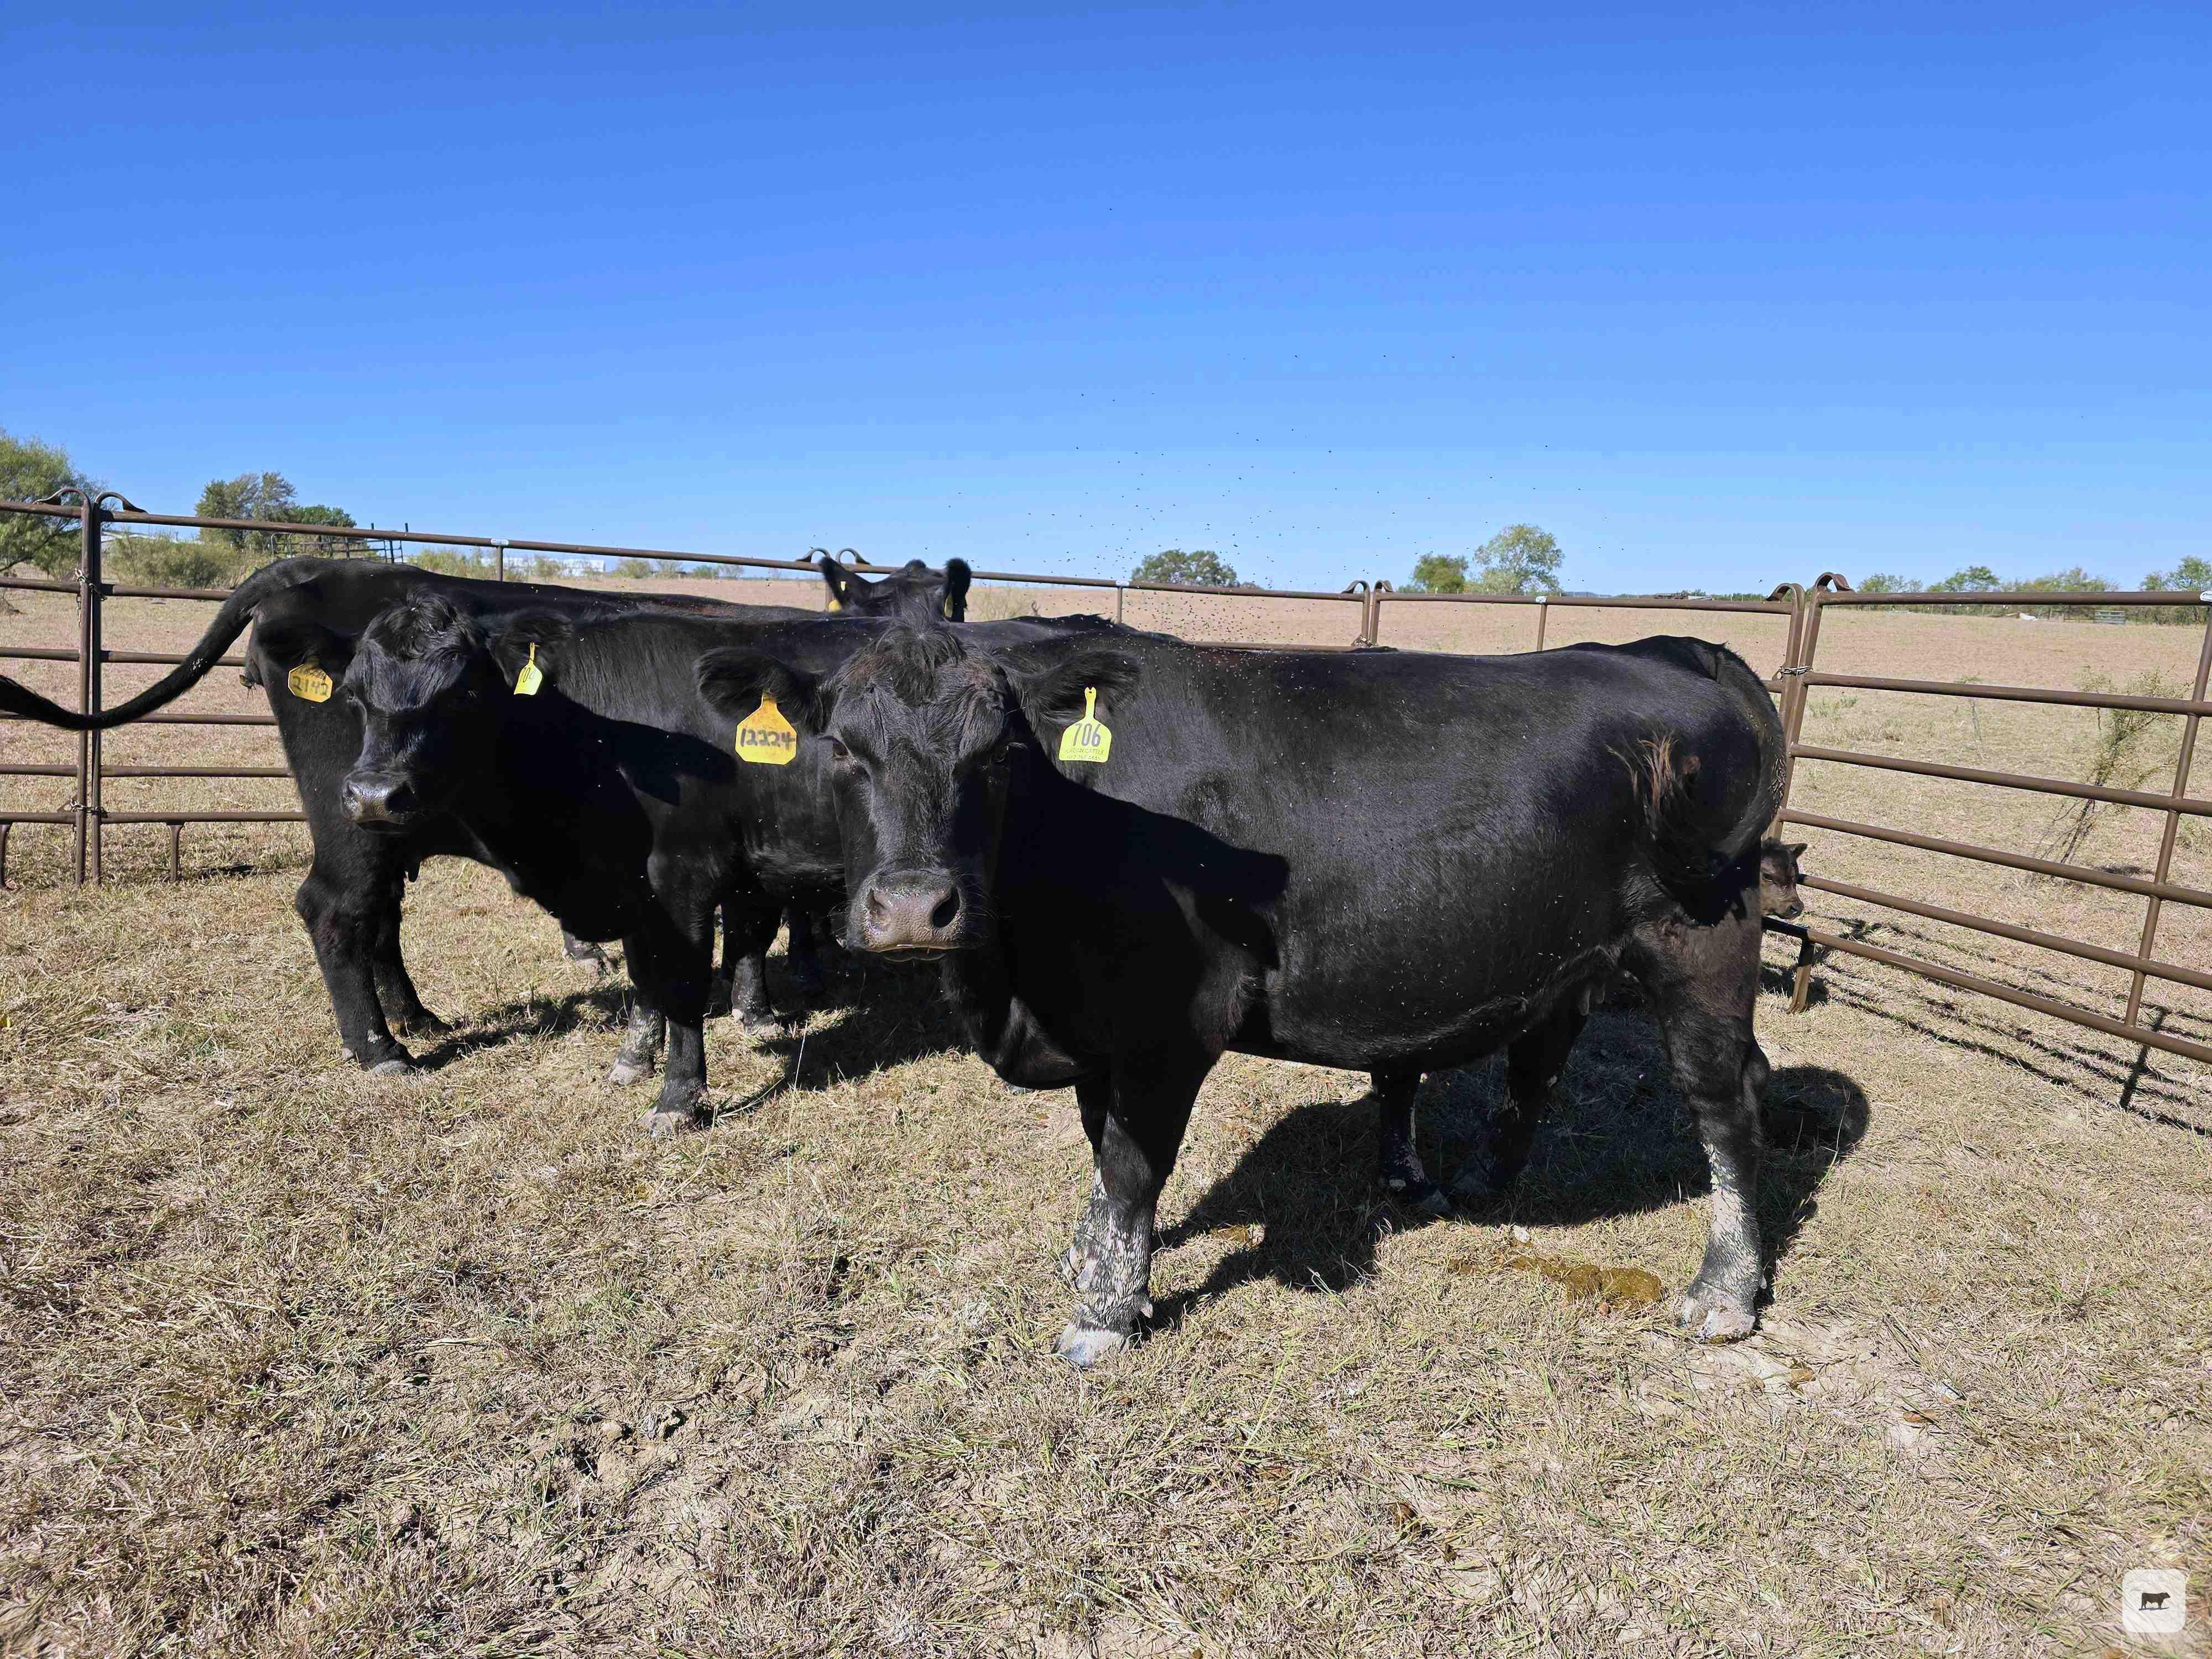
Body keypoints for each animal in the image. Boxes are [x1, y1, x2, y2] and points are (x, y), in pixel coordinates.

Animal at [0, 552, 970, 1070]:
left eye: (950, 599)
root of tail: (312, 569)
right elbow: (753, 919)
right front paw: (764, 1007)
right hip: (352, 819)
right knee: (336, 910)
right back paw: (382, 1050)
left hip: (383, 821)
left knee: (379, 917)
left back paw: (417, 1019)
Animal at [685, 623, 1786, 1361]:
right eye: (841, 749)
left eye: (997, 754)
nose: (917, 907)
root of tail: (1669, 651)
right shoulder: (1097, 1029)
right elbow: (1100, 1153)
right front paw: (1094, 1264)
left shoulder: (1172, 1025)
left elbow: (1132, 1166)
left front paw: (1101, 1319)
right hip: (1571, 953)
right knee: (1541, 1058)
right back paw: (1481, 1179)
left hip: (1706, 940)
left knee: (1727, 1104)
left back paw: (1726, 1292)